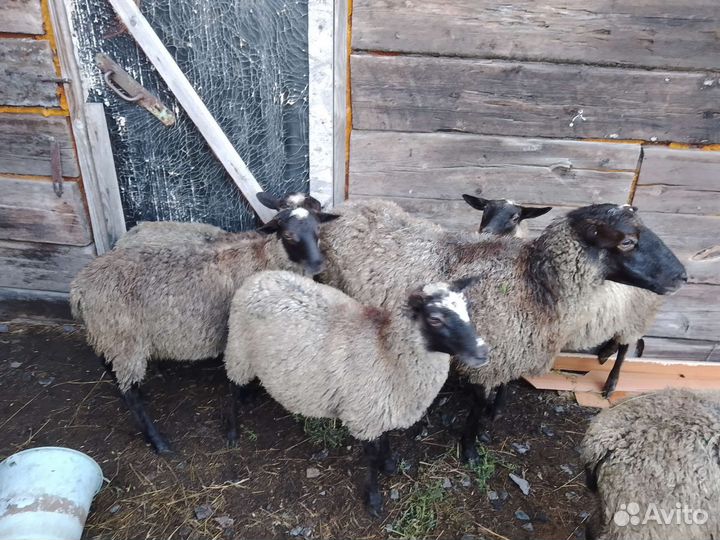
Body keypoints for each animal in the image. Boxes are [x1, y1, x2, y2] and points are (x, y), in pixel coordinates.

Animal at [223, 270, 489, 515]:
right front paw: (374, 500)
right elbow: (370, 458)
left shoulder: (380, 406)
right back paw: (233, 431)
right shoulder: (364, 415)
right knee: (231, 387)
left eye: (468, 308)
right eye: (435, 319)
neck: (387, 353)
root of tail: (260, 276)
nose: (483, 352)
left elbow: (386, 437)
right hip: (238, 350)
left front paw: (389, 464)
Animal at [462, 195, 663, 398]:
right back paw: (605, 354)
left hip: (637, 318)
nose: (486, 232)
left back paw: (611, 383)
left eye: (515, 217)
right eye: (485, 210)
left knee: (624, 349)